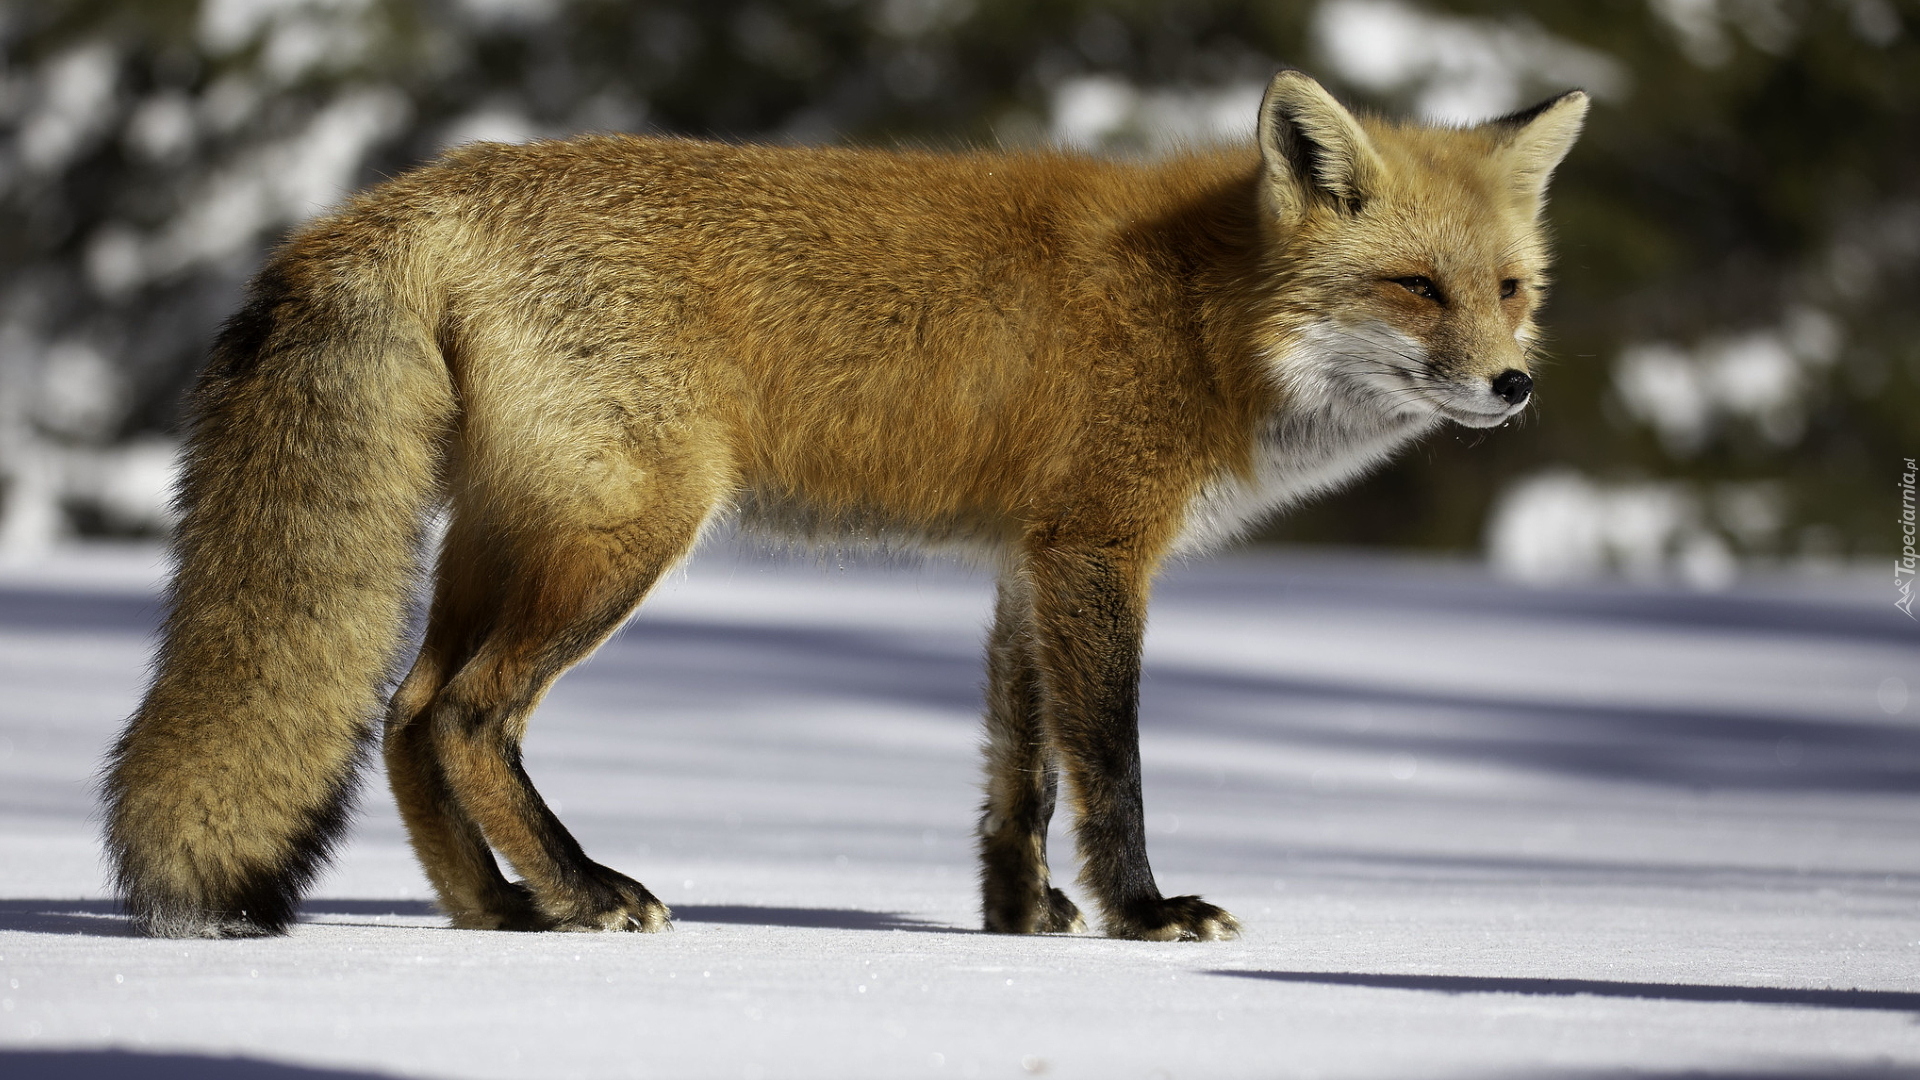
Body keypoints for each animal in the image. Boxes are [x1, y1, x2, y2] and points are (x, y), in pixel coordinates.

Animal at [97, 71, 1582, 937]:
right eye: (1414, 289)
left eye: (1510, 288)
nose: (1513, 386)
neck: (1204, 308)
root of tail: (410, 191)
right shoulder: (1099, 547)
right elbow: (1108, 766)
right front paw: (1145, 914)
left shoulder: (1026, 561)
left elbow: (1017, 771)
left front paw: (1018, 921)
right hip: (619, 538)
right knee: (465, 715)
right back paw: (584, 893)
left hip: (509, 538)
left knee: (404, 713)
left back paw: (500, 912)